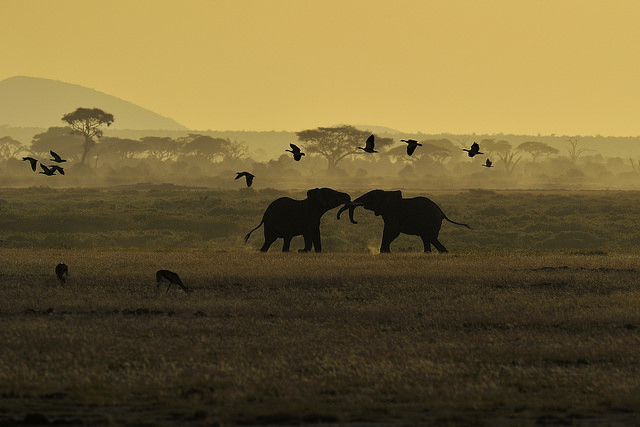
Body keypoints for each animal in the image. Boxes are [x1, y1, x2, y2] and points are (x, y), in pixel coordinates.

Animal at [340, 191, 470, 254]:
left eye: (369, 198)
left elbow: (391, 231)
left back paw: (444, 253)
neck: (388, 193)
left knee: (429, 236)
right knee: (426, 237)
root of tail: (442, 212)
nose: (356, 222)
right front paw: (387, 252)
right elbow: (392, 232)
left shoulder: (393, 214)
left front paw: (385, 253)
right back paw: (429, 253)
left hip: (431, 221)